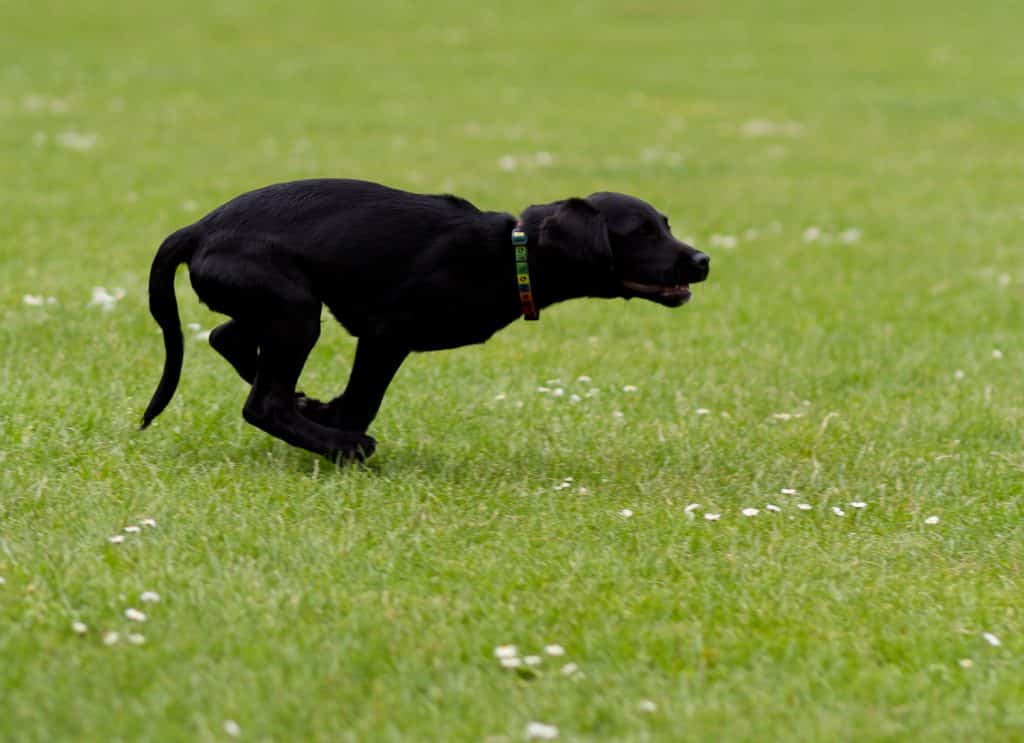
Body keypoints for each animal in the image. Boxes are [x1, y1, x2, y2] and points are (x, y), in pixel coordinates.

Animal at [140, 180, 708, 460]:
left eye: (666, 225)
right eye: (642, 232)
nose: (703, 260)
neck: (511, 255)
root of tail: (198, 228)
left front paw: (322, 412)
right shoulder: (385, 334)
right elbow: (362, 403)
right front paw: (340, 434)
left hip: (284, 305)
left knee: (227, 338)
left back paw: (306, 407)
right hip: (295, 311)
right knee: (262, 402)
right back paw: (339, 446)